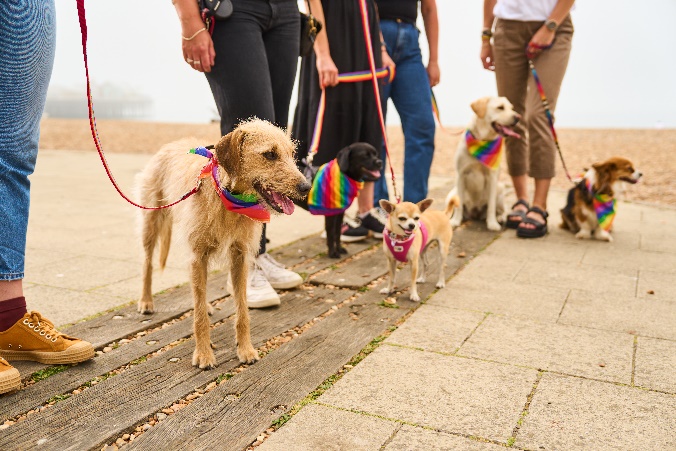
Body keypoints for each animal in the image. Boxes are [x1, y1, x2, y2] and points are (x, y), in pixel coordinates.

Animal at [136, 118, 310, 370]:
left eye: (291, 154)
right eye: (270, 154)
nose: (306, 187)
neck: (226, 196)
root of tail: (170, 145)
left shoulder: (239, 257)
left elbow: (242, 310)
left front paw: (245, 349)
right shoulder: (198, 255)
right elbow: (199, 317)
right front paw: (203, 354)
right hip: (151, 222)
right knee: (148, 263)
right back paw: (146, 301)